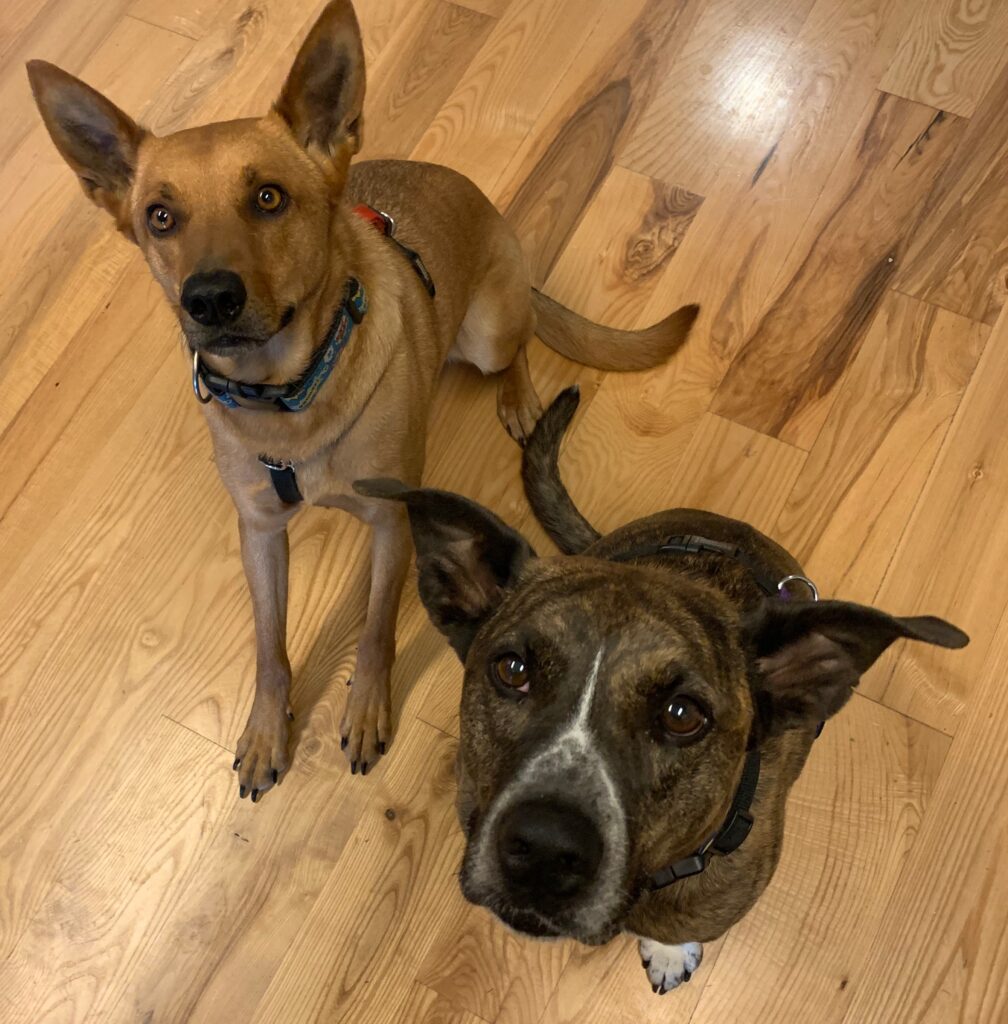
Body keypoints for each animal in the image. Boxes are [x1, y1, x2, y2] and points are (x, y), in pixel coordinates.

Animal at [27, 0, 696, 794]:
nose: (209, 299)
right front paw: (266, 731)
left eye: (268, 198)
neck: (287, 399)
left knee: (519, 347)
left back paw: (518, 398)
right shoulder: (259, 533)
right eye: (160, 216)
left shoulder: (390, 523)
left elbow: (376, 629)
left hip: (489, 330)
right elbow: (270, 646)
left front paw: (368, 709)